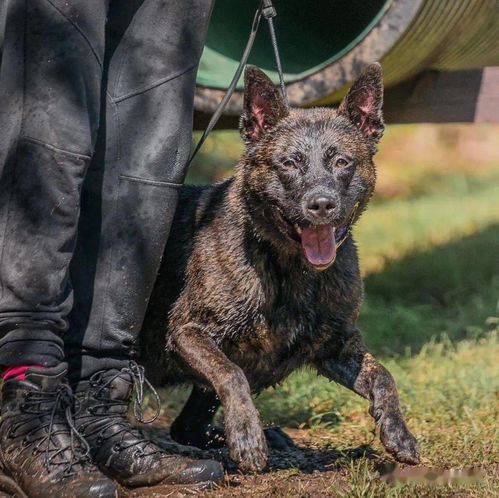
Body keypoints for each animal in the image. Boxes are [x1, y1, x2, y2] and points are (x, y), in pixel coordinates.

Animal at [140, 62, 422, 470]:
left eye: (342, 162)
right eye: (289, 163)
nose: (321, 204)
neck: (292, 269)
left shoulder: (338, 347)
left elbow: (383, 375)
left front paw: (398, 432)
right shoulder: (188, 332)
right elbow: (231, 373)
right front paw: (247, 436)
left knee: (185, 428)